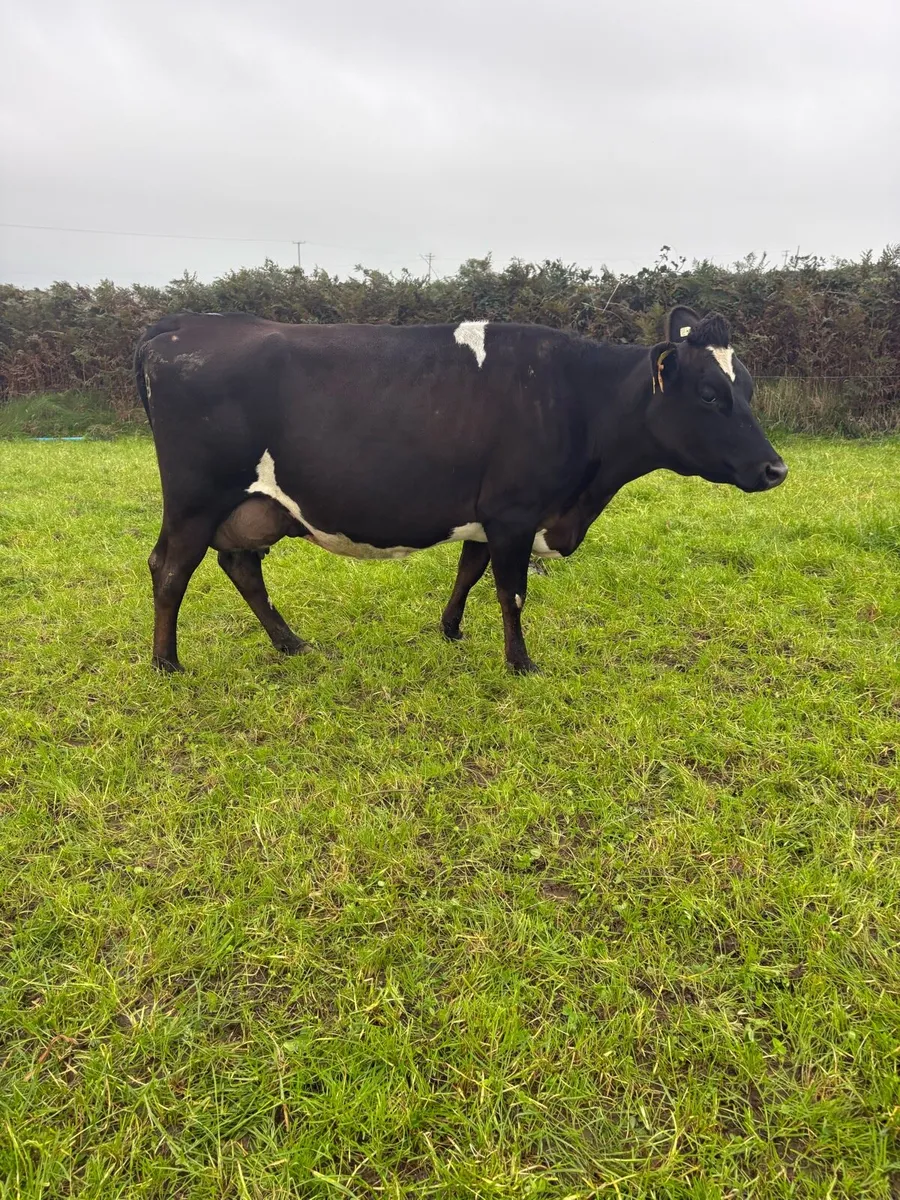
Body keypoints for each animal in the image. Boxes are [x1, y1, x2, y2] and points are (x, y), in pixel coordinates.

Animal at [134, 306, 786, 675]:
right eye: (710, 394)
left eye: (748, 387)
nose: (776, 470)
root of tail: (183, 325)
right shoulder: (516, 511)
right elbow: (511, 591)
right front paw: (520, 663)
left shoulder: (488, 512)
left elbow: (469, 570)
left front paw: (450, 630)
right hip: (194, 500)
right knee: (170, 568)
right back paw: (167, 663)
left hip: (254, 507)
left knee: (241, 566)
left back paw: (291, 644)